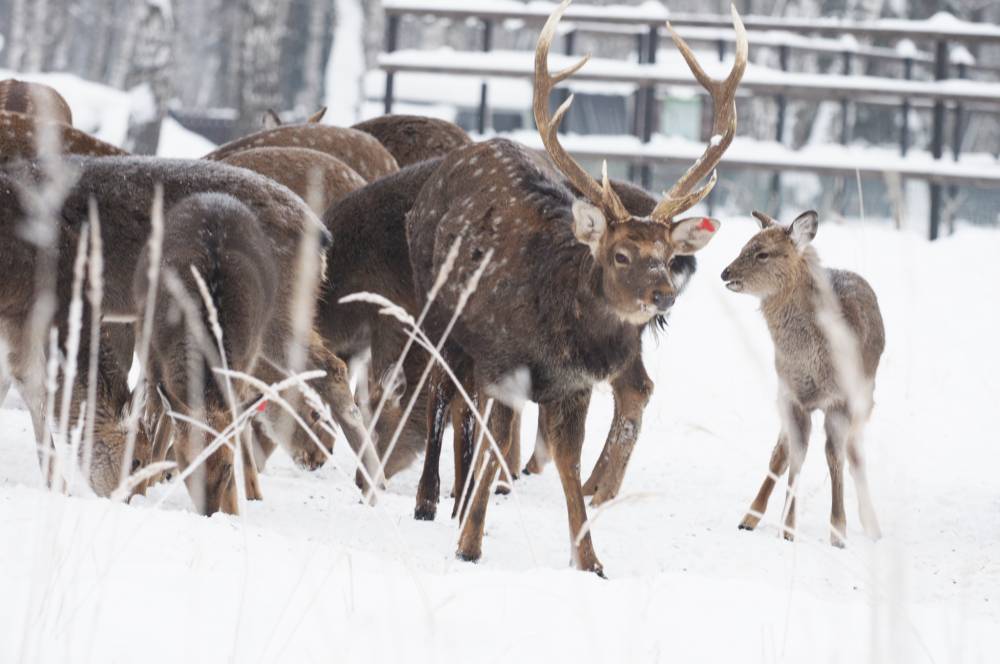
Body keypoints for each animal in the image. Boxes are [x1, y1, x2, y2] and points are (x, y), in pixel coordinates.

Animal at [134, 192, 278, 512]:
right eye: (189, 464)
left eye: (226, 467)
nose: (209, 513)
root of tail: (215, 197)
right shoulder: (152, 359)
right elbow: (155, 435)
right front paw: (136, 492)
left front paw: (234, 509)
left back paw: (255, 493)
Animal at [404, 0, 744, 572]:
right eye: (621, 253)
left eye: (666, 256)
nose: (663, 297)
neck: (558, 336)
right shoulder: (505, 361)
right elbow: (498, 443)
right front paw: (469, 544)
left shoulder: (576, 385)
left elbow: (567, 464)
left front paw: (589, 560)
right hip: (435, 308)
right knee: (439, 390)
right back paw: (429, 501)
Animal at [720, 210, 892, 548]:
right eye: (746, 244)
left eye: (762, 253)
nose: (725, 272)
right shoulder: (790, 396)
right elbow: (793, 456)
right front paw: (787, 530)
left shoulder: (841, 400)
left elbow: (834, 457)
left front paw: (838, 533)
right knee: (781, 453)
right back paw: (750, 517)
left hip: (866, 398)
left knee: (855, 454)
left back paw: (873, 527)